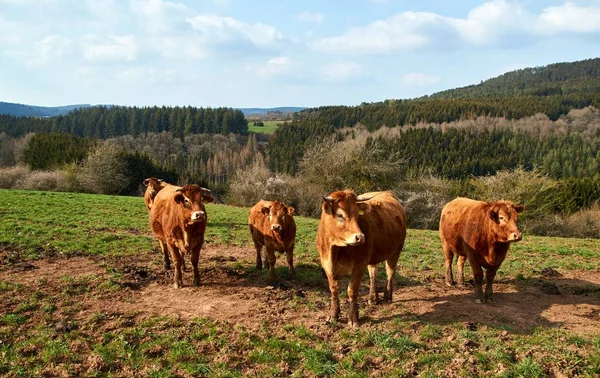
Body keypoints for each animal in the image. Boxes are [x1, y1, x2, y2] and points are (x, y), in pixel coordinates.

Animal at [314, 190, 408, 326]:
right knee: (373, 273)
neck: (336, 250)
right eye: (339, 215)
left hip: (396, 251)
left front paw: (353, 318)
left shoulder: (359, 265)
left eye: (357, 215)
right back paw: (373, 298)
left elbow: (352, 291)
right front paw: (333, 315)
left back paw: (387, 296)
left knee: (390, 272)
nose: (360, 237)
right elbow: (334, 289)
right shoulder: (327, 265)